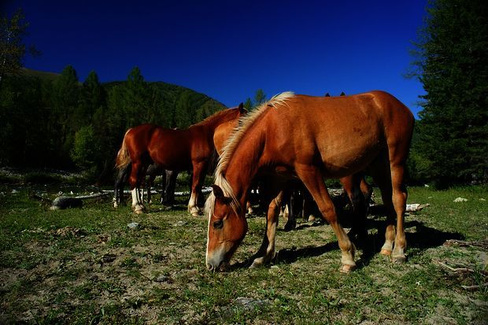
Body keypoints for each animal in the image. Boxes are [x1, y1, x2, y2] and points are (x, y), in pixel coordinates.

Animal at [116, 104, 246, 215]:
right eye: (243, 118)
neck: (206, 133)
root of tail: (131, 130)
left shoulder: (200, 167)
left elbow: (197, 185)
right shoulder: (199, 164)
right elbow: (196, 185)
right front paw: (194, 208)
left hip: (144, 164)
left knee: (138, 182)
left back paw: (141, 205)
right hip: (137, 162)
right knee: (133, 180)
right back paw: (137, 207)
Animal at [204, 90, 414, 270]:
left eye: (217, 223)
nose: (210, 264)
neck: (274, 128)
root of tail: (400, 105)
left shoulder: (308, 171)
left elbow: (327, 209)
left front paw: (348, 256)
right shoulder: (280, 178)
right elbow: (271, 211)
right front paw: (263, 255)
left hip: (395, 161)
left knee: (398, 199)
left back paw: (399, 250)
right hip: (379, 165)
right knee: (387, 199)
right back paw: (387, 245)